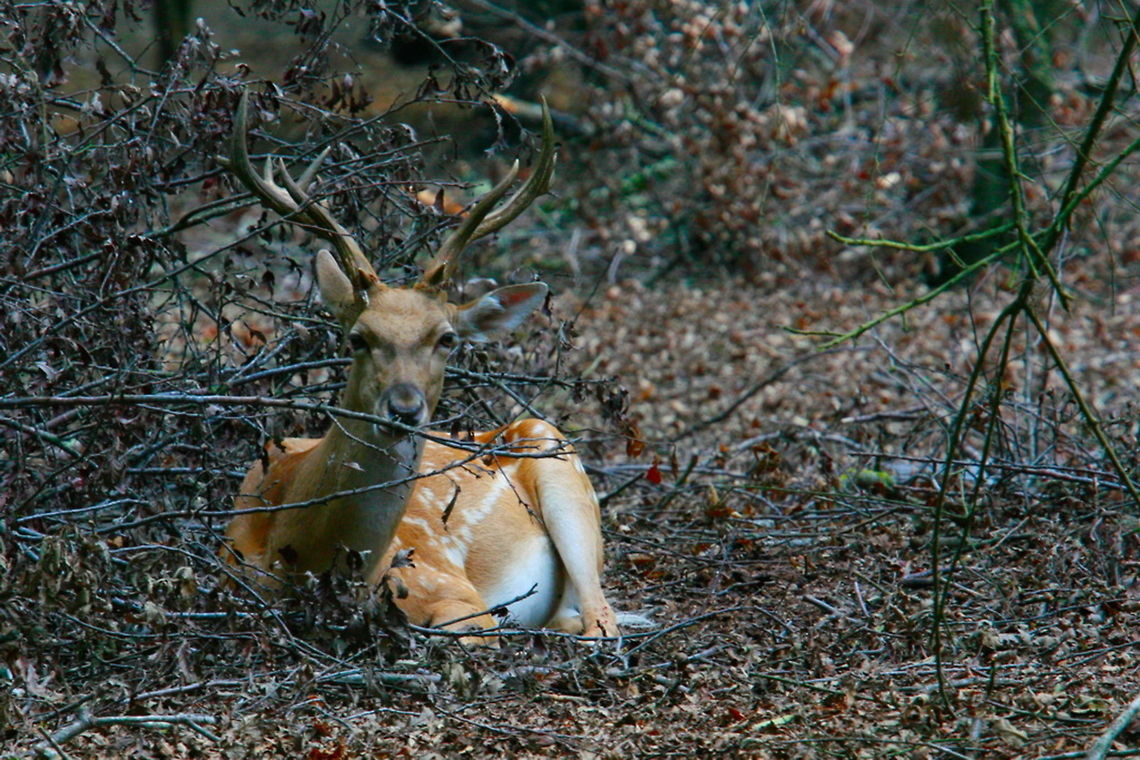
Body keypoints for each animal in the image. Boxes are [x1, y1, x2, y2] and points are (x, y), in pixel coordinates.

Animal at [219, 91, 617, 640]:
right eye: (358, 337)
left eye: (447, 338)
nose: (405, 409)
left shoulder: (449, 588)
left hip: (561, 464)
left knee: (604, 620)